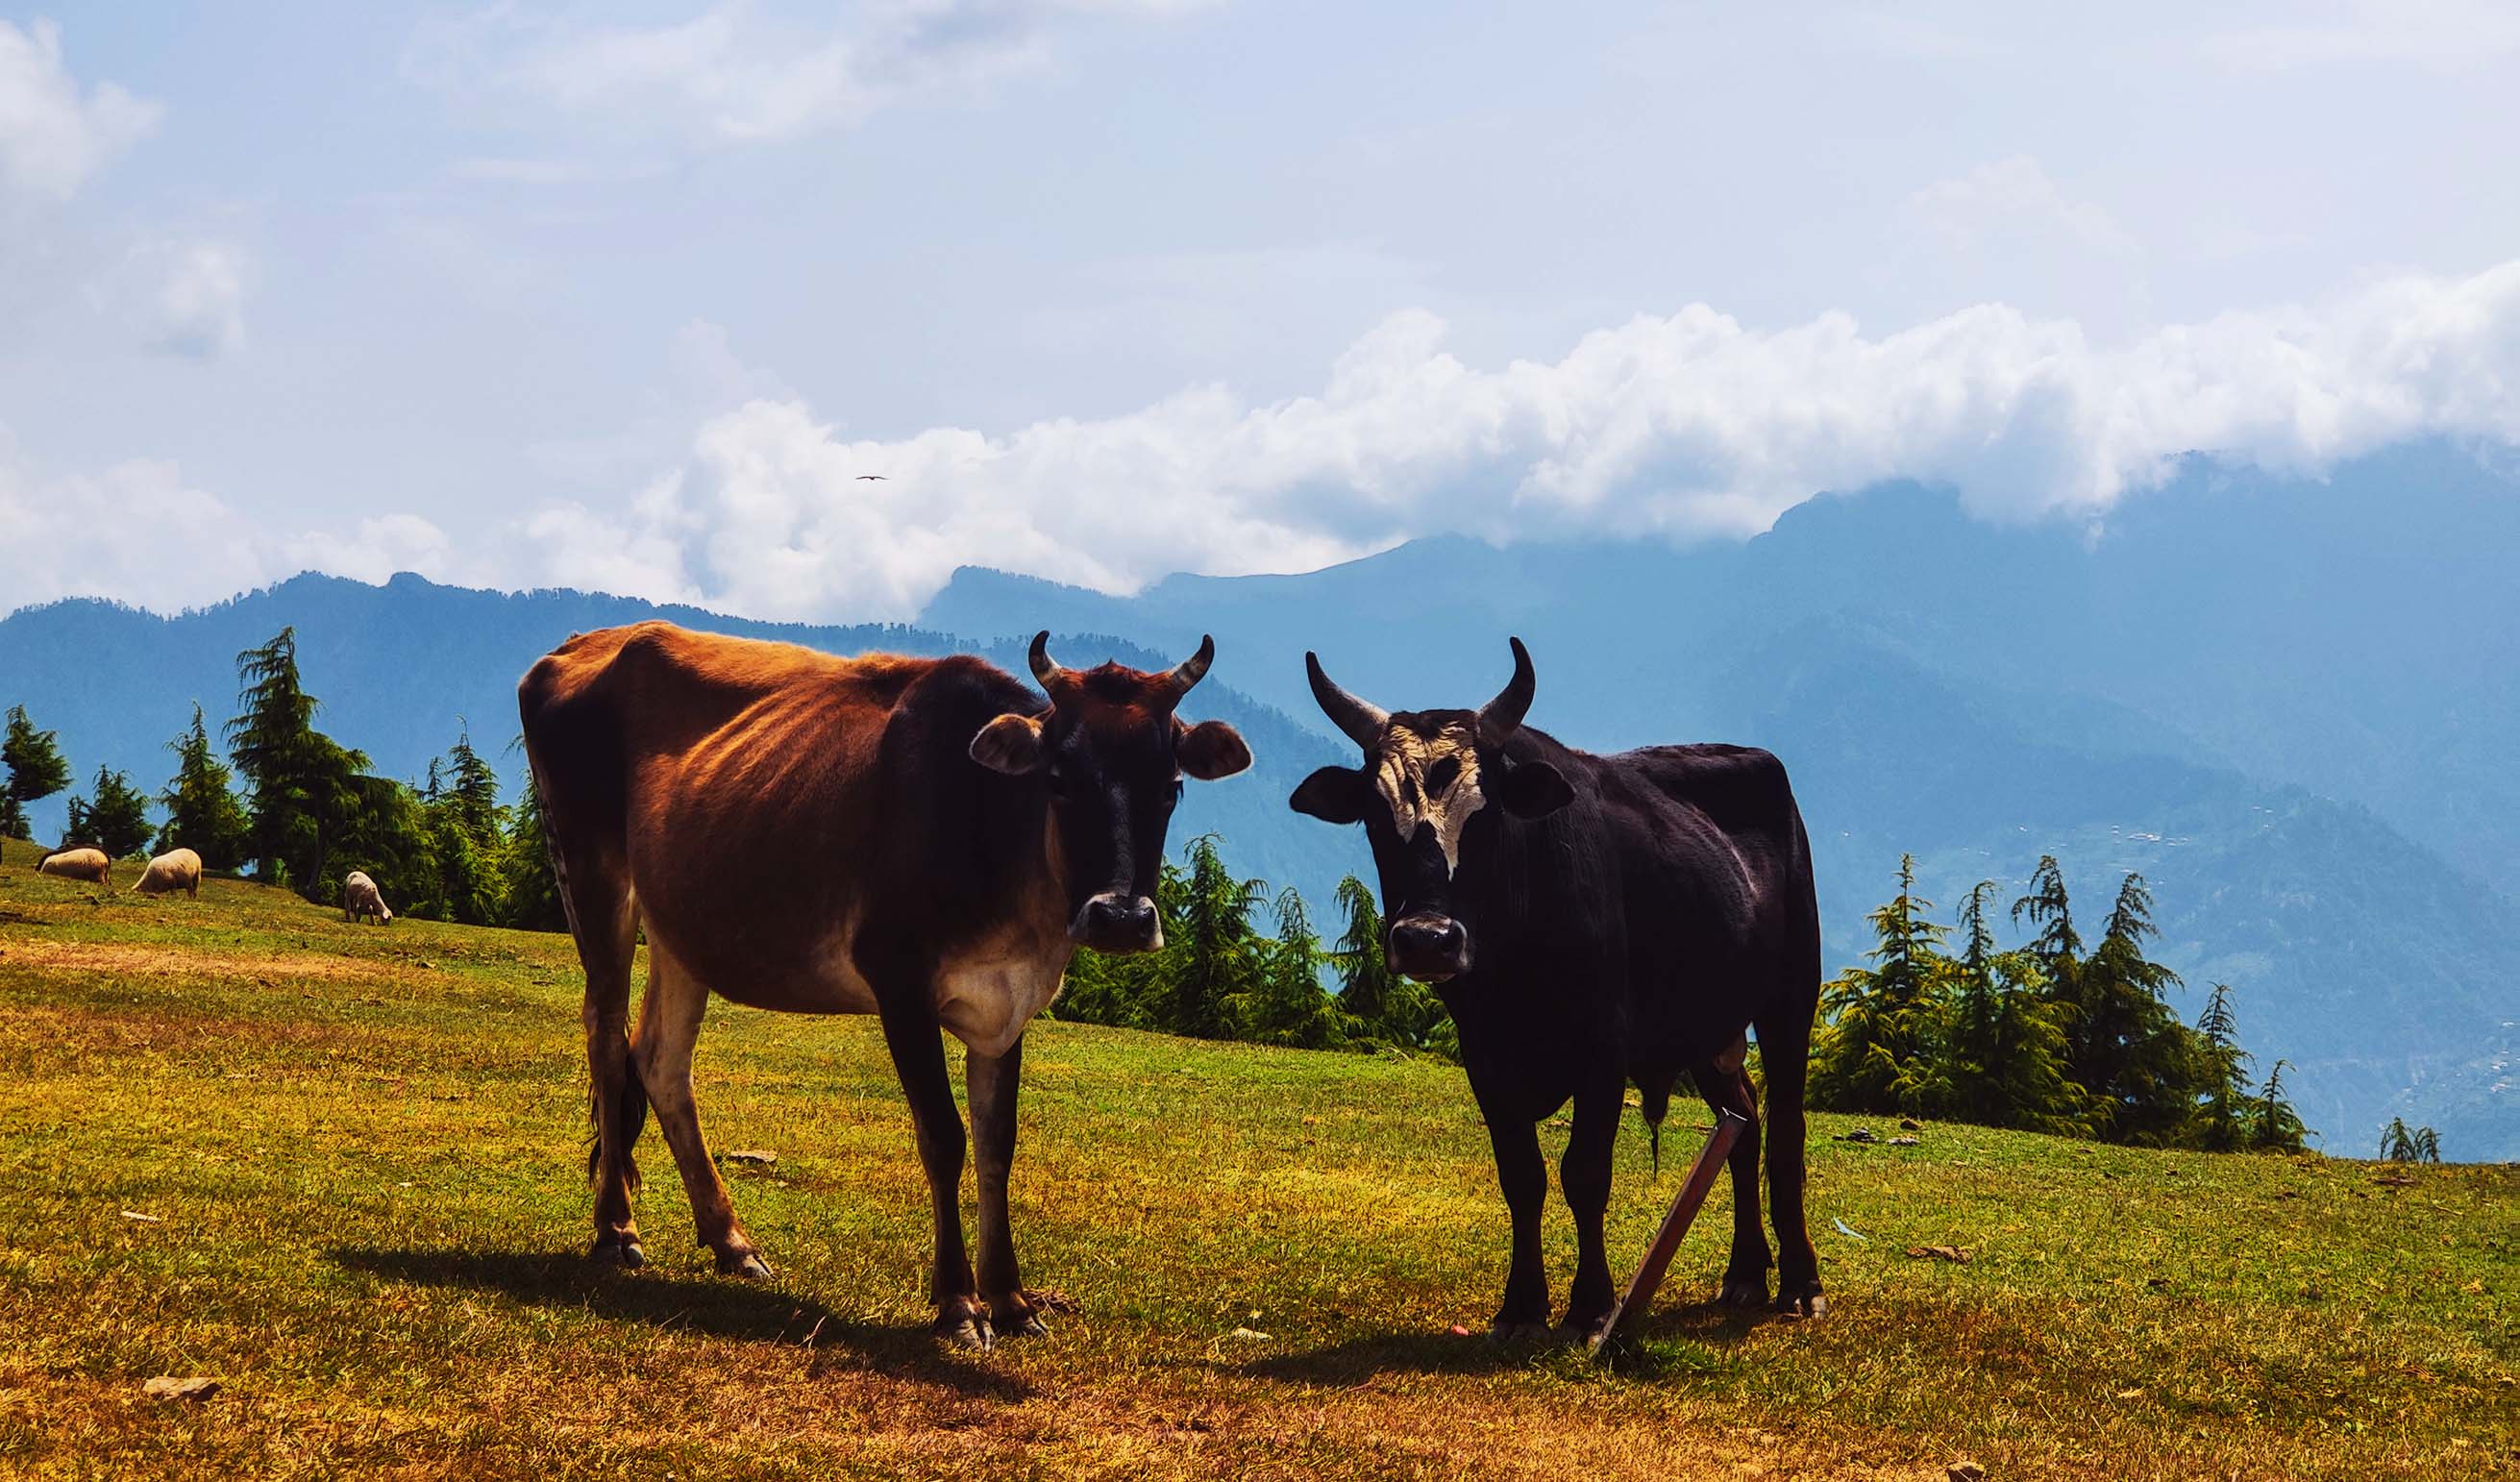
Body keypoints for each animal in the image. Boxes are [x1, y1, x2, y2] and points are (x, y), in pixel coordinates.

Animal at [519, 620, 1249, 1350]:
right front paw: (959, 1303)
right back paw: (616, 1230)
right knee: (607, 1042)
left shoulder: (1007, 1004)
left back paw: (732, 1241)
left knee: (661, 1062)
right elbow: (945, 1137)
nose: (1120, 917)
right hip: (590, 871)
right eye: (1060, 779)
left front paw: (1012, 1300)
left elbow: (998, 1144)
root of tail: (580, 643)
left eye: (1171, 785)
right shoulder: (899, 984)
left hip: (680, 924)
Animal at [1290, 637, 1824, 1330]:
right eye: (1378, 820)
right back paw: (1744, 1274)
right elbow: (1522, 1176)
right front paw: (1521, 1305)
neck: (1515, 968)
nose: (1428, 939)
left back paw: (1800, 1283)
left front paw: (1593, 1304)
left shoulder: (1604, 1050)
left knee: (1785, 1130)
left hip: (1791, 999)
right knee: (1745, 1120)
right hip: (1706, 1026)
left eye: (1486, 816)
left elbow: (1585, 1173)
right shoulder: (1484, 1059)